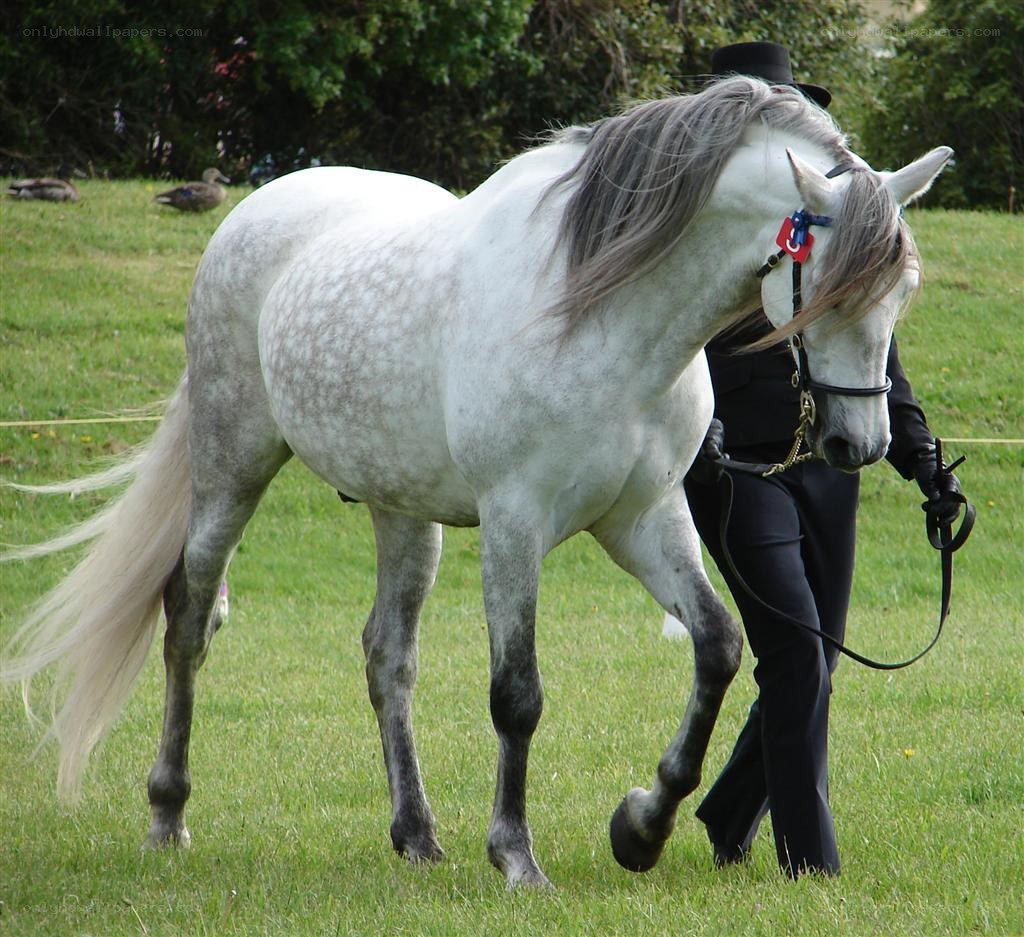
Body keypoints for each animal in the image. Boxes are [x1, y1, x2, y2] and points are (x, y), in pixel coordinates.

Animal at [1, 77, 951, 888]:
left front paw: (640, 827)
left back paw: (417, 833)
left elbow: (717, 648)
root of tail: (254, 209)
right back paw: (168, 813)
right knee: (189, 620)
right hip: (233, 468)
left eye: (904, 291)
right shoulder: (515, 522)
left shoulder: (642, 516)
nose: (857, 443)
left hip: (400, 512)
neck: (598, 313)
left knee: (388, 657)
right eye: (828, 291)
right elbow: (517, 694)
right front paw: (518, 855)